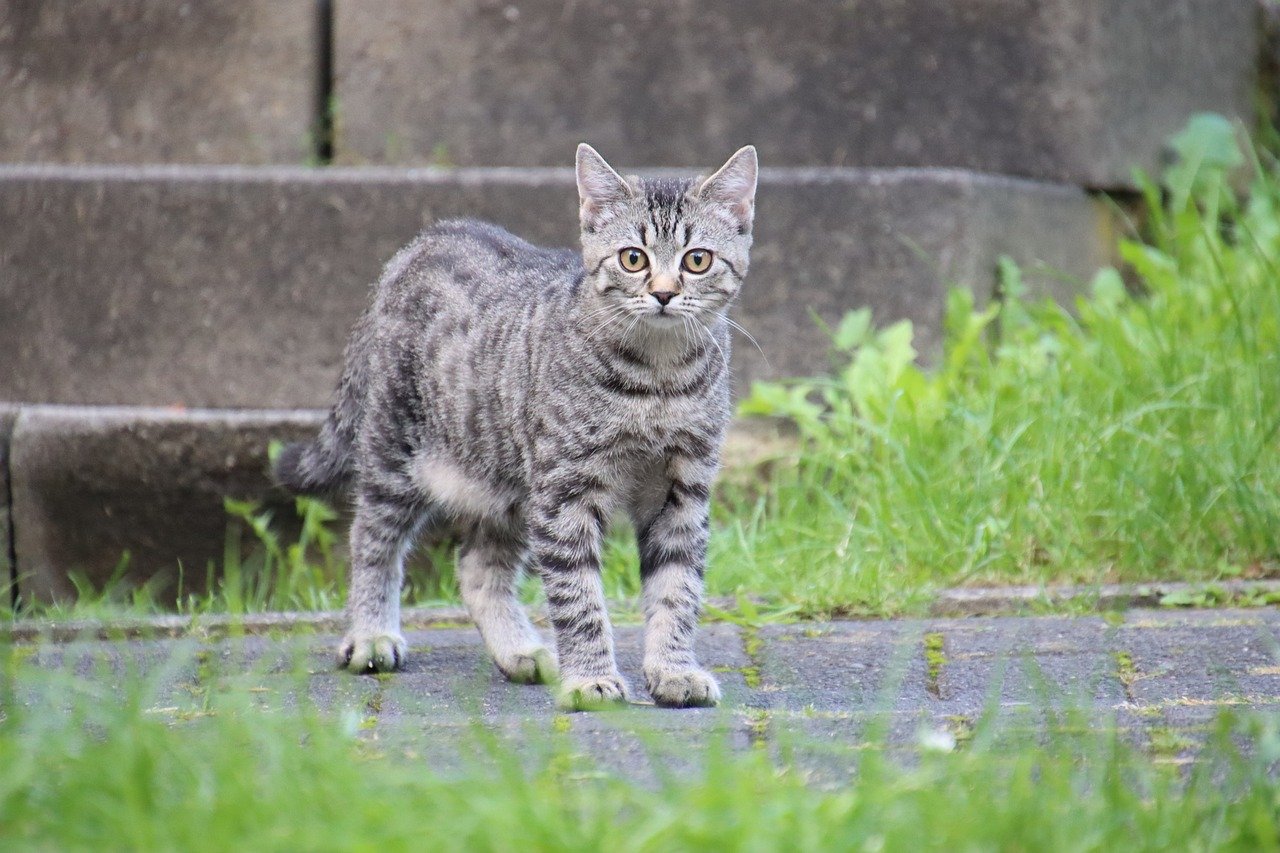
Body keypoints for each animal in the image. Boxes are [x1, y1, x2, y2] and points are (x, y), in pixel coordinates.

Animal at [275, 142, 752, 706]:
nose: (662, 293)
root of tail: (424, 241)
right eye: (633, 258)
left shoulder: (683, 490)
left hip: (508, 483)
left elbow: (676, 589)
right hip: (396, 452)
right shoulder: (566, 492)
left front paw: (674, 670)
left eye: (697, 259)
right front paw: (590, 678)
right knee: (372, 539)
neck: (658, 381)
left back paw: (519, 651)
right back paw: (371, 635)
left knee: (477, 567)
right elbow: (578, 596)